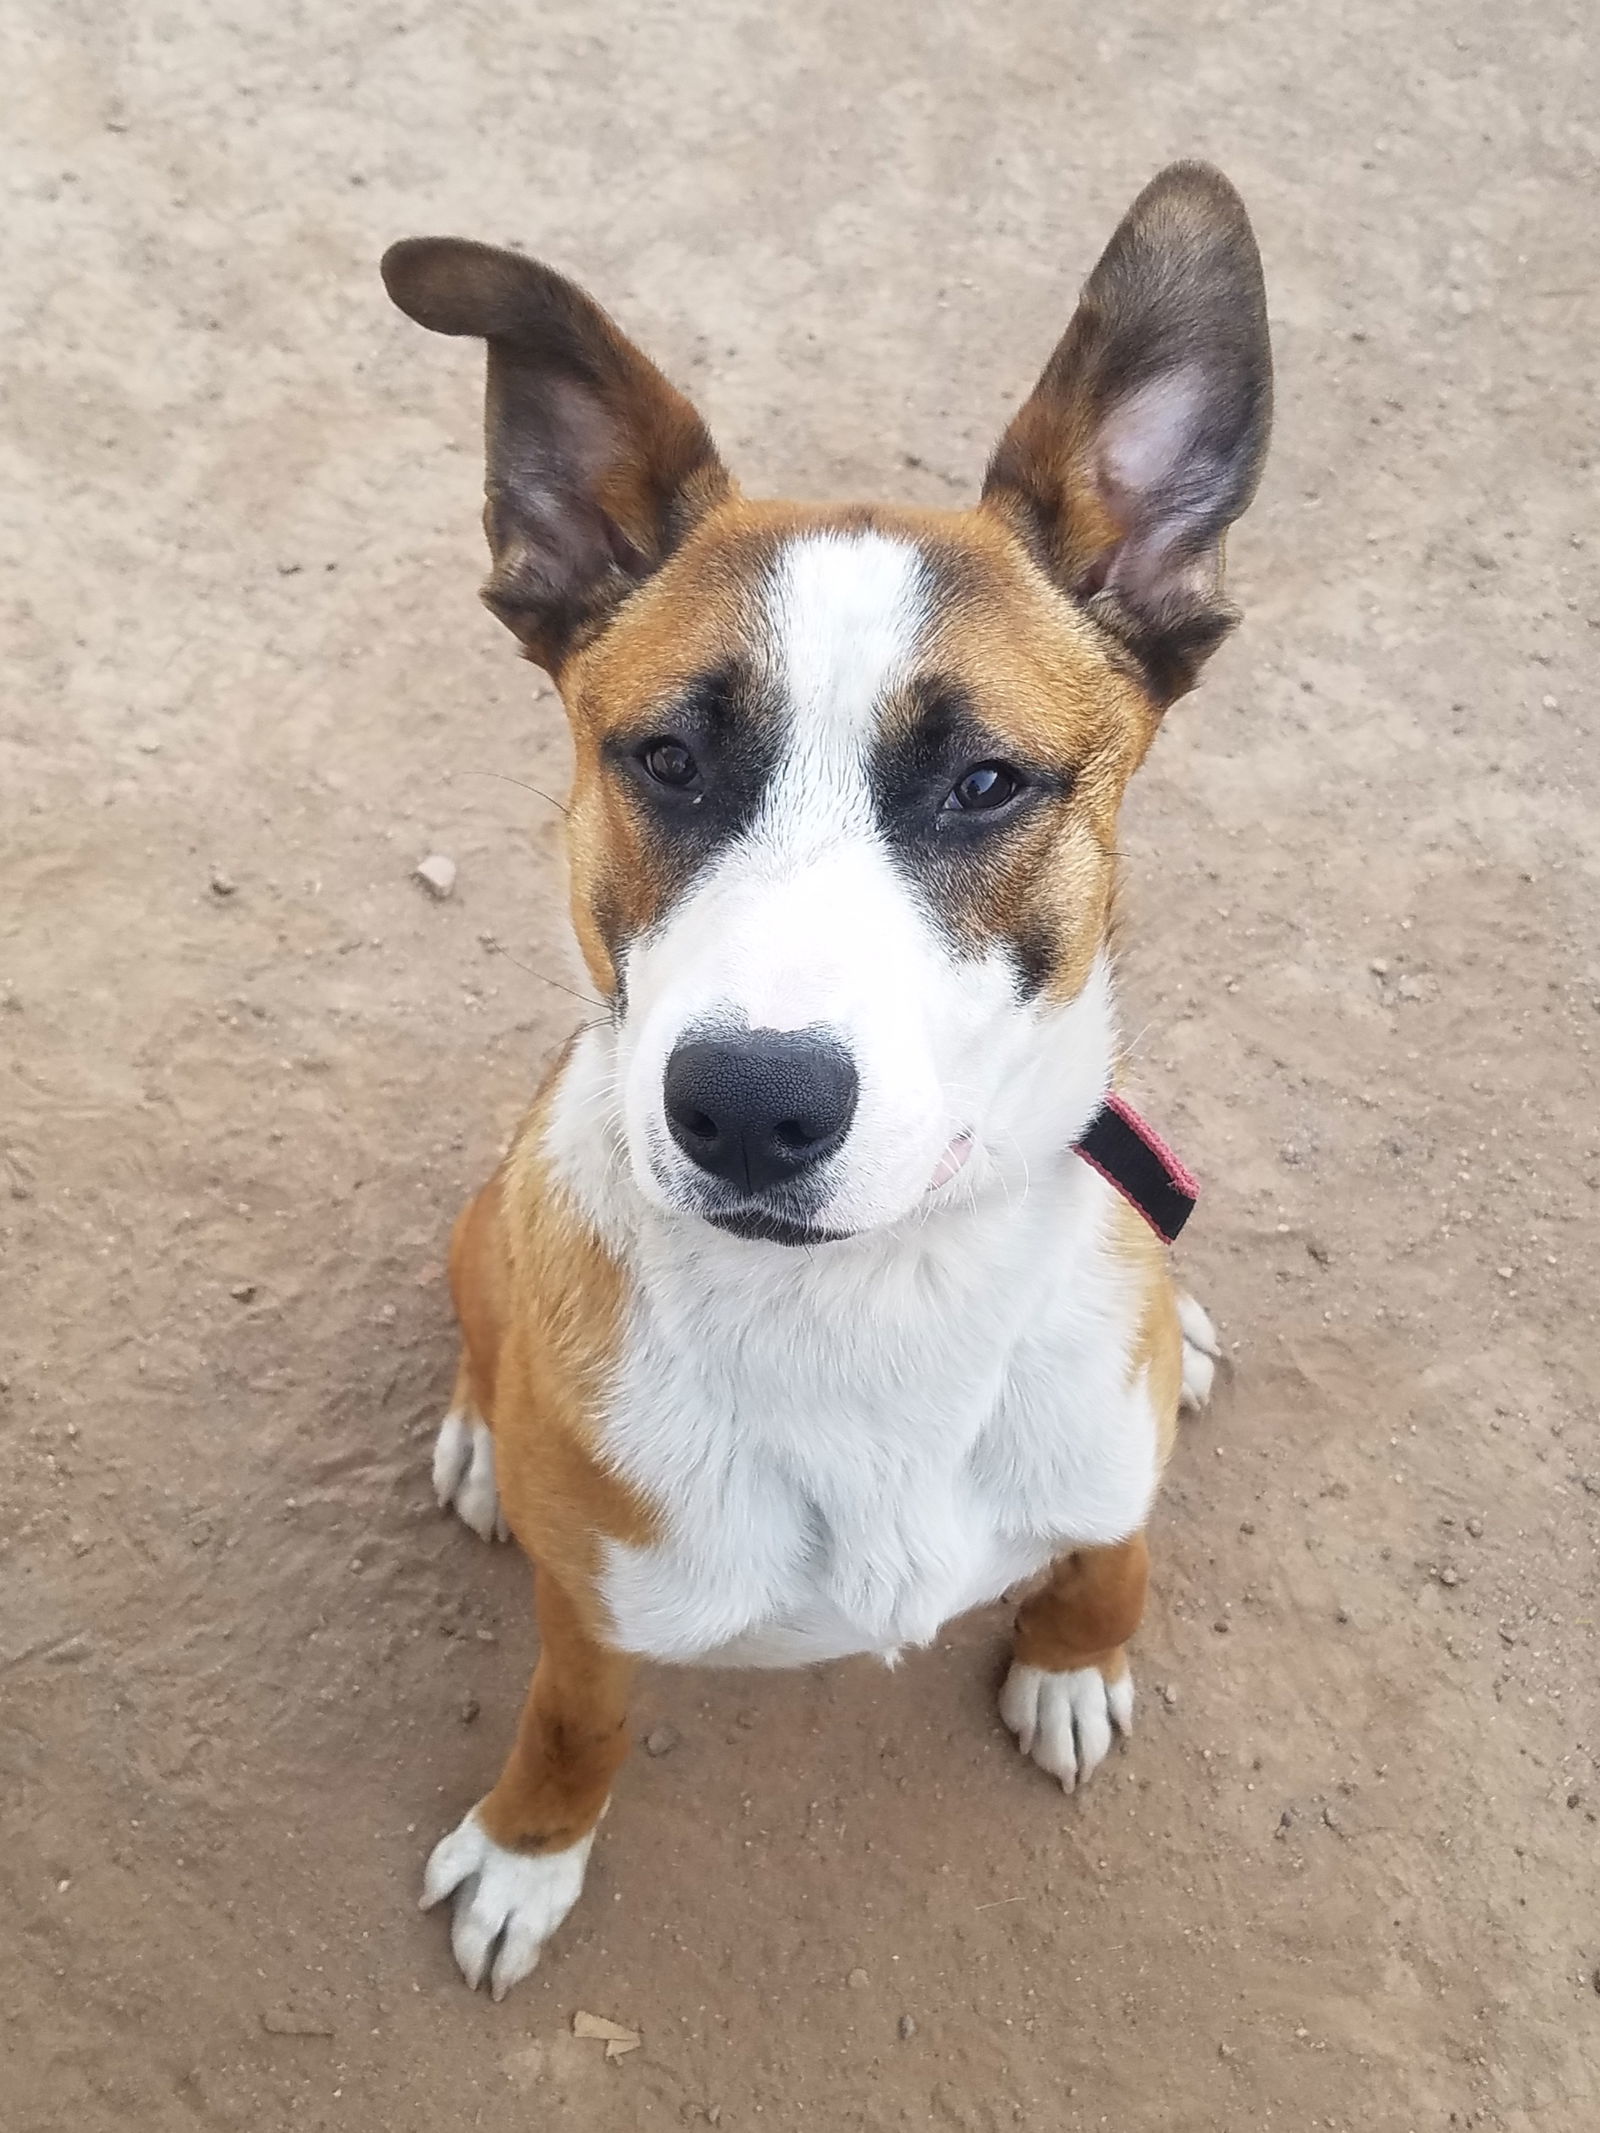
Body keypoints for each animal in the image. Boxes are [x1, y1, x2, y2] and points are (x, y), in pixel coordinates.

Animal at [381, 162, 1271, 1996]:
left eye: (987, 780)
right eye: (663, 757)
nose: (747, 1106)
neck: (871, 1306)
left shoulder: (1105, 1454)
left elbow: (1115, 1549)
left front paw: (1072, 1650)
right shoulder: (596, 1623)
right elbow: (577, 1723)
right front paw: (527, 1849)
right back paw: (486, 1443)